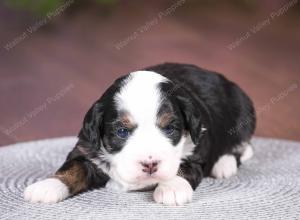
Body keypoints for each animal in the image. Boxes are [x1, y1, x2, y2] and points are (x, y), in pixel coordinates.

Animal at [24, 62, 255, 205]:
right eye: (122, 131)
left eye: (169, 129)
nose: (150, 164)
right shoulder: (86, 147)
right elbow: (73, 167)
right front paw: (47, 186)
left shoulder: (198, 149)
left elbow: (184, 168)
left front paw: (172, 188)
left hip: (244, 111)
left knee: (241, 146)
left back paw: (224, 164)